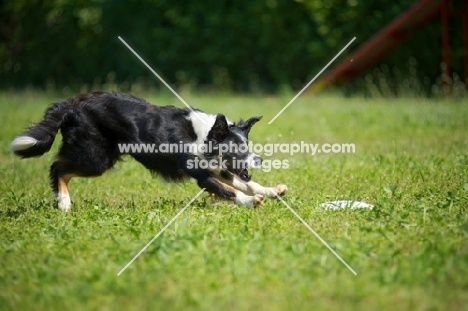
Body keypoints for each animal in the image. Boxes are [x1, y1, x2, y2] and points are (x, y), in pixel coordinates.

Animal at [11, 91, 288, 211]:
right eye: (237, 148)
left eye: (247, 146)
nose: (259, 159)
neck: (202, 136)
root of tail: (70, 103)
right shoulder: (200, 173)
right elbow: (228, 190)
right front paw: (251, 201)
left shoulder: (216, 167)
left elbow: (245, 183)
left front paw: (272, 191)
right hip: (95, 156)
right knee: (57, 167)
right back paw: (64, 203)